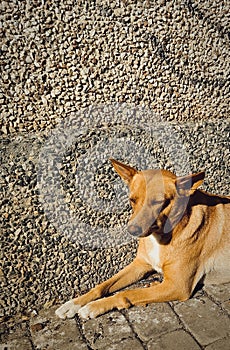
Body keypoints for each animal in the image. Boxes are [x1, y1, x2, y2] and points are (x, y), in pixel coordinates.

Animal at [55, 159, 230, 320]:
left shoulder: (177, 285)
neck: (161, 237)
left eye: (159, 202)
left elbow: (126, 293)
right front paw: (74, 303)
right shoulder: (139, 265)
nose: (132, 230)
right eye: (132, 200)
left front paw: (93, 306)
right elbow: (102, 286)